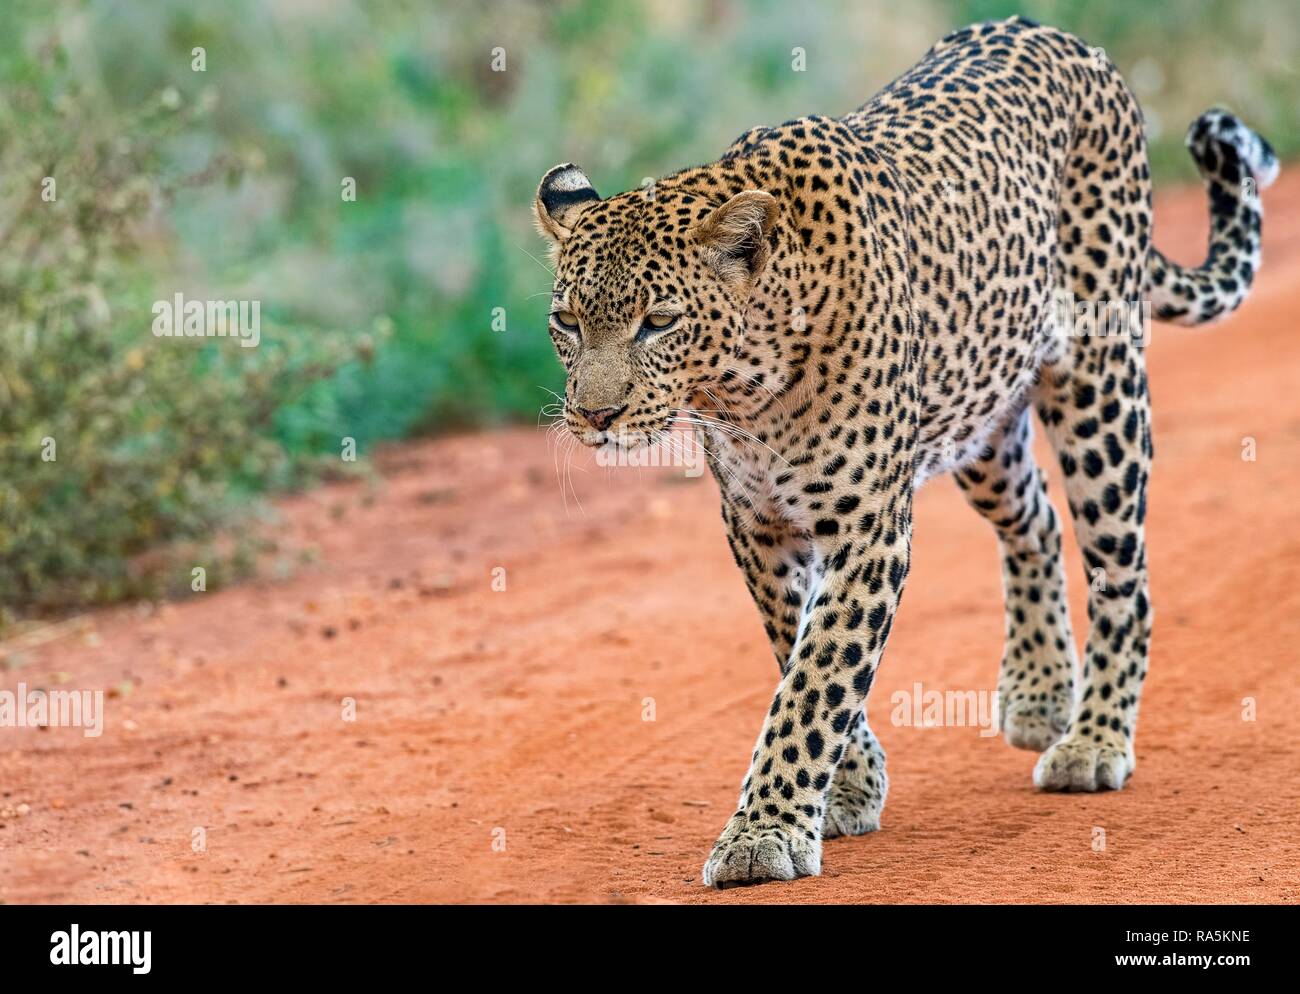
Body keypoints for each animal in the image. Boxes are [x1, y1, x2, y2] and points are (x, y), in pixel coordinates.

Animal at [531, 16, 1277, 888]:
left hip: (1099, 389)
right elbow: (797, 651)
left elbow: (817, 679)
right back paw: (1038, 693)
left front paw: (764, 831)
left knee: (1122, 568)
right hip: (979, 417)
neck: (745, 389)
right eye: (567, 322)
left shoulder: (868, 528)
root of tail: (1056, 34)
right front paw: (850, 788)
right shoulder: (757, 526)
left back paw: (1093, 740)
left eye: (658, 322)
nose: (595, 415)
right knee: (1036, 521)